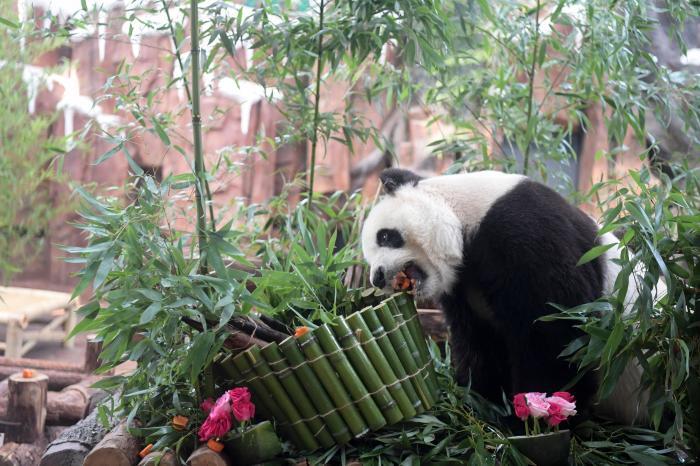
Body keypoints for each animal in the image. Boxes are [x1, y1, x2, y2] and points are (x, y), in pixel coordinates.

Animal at [364, 168, 648, 426]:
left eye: (385, 236)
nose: (377, 277)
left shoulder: (526, 232)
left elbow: (557, 333)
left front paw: (529, 416)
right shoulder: (464, 290)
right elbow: (479, 343)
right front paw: (476, 401)